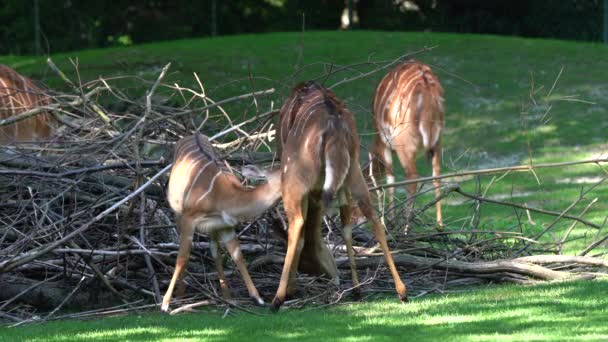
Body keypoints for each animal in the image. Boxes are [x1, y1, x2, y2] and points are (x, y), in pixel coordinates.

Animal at [160, 134, 282, 312]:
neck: (225, 196)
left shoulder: (225, 225)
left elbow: (237, 256)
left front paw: (257, 299)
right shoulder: (190, 217)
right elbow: (182, 257)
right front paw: (165, 304)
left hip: (212, 227)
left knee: (215, 251)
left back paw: (226, 297)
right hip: (177, 212)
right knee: (184, 250)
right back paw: (181, 295)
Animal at [272, 81, 408, 312]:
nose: (324, 272)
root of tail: (334, 129)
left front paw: (291, 290)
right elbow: (346, 226)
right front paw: (356, 289)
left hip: (294, 177)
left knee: (297, 223)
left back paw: (277, 298)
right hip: (353, 171)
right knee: (371, 216)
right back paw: (400, 292)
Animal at [368, 60, 444, 227]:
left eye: (370, 178)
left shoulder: (385, 142)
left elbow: (390, 177)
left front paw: (389, 220)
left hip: (403, 141)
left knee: (412, 177)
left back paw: (406, 226)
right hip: (438, 139)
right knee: (436, 173)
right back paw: (440, 225)